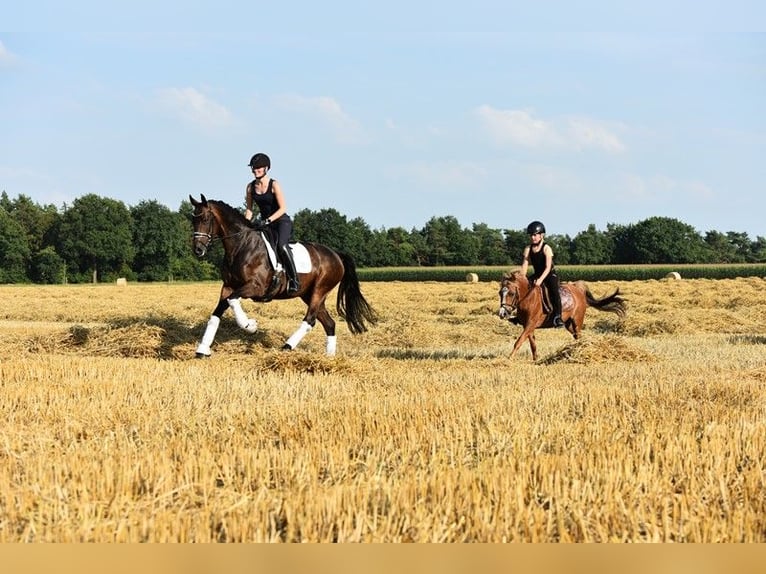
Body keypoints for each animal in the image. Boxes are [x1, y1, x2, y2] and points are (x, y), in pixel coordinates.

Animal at [188, 198, 376, 360]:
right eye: (192, 220)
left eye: (205, 218)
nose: (198, 250)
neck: (241, 246)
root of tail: (336, 255)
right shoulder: (228, 286)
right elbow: (216, 314)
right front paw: (202, 350)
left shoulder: (255, 287)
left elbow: (233, 300)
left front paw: (250, 326)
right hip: (308, 294)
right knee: (329, 323)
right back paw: (329, 357)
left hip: (320, 290)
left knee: (310, 320)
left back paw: (287, 346)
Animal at [500, 272, 628, 362]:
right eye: (500, 293)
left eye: (511, 293)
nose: (502, 314)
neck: (528, 298)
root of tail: (579, 289)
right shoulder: (528, 326)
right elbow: (532, 344)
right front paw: (536, 359)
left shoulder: (530, 324)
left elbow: (519, 341)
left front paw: (509, 358)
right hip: (569, 324)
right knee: (577, 337)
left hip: (577, 321)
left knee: (579, 336)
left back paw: (580, 350)